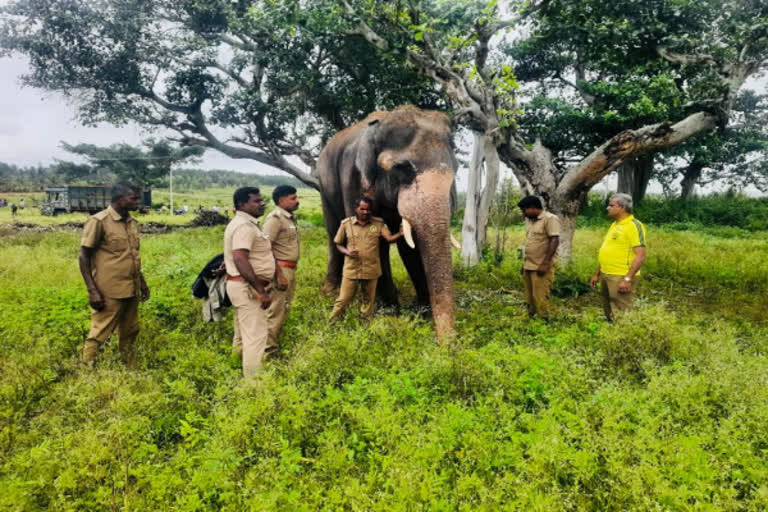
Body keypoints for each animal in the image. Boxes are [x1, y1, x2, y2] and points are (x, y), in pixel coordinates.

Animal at [316, 105, 460, 338]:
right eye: (403, 168)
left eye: (454, 171)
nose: (448, 344)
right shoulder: (352, 177)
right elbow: (378, 245)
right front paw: (391, 310)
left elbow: (409, 247)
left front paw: (422, 312)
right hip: (324, 186)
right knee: (332, 232)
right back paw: (330, 292)